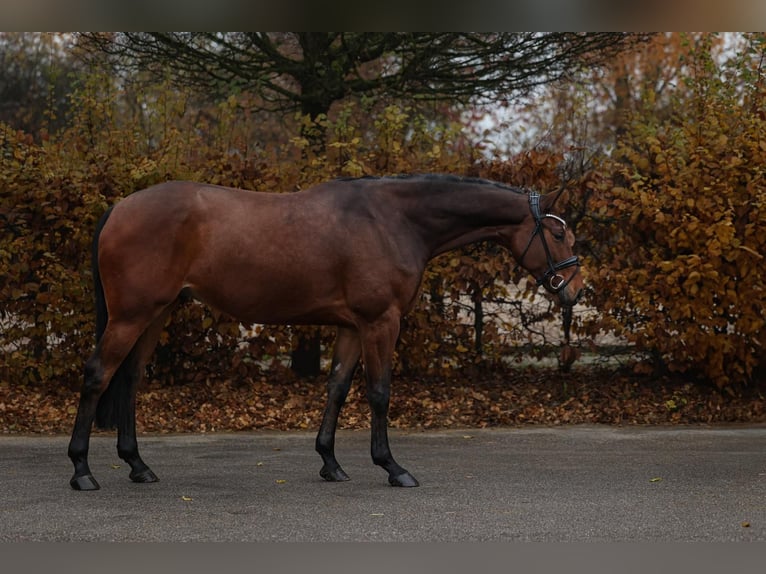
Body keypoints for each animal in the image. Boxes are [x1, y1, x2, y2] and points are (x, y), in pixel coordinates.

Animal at [67, 174, 583, 491]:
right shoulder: (381, 321)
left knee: (129, 379)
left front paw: (330, 463)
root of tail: (118, 208)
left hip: (156, 314)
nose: (576, 290)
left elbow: (336, 388)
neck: (392, 220)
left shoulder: (353, 327)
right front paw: (392, 467)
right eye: (559, 236)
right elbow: (378, 392)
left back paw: (138, 466)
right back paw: (82, 470)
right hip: (132, 315)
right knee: (96, 375)